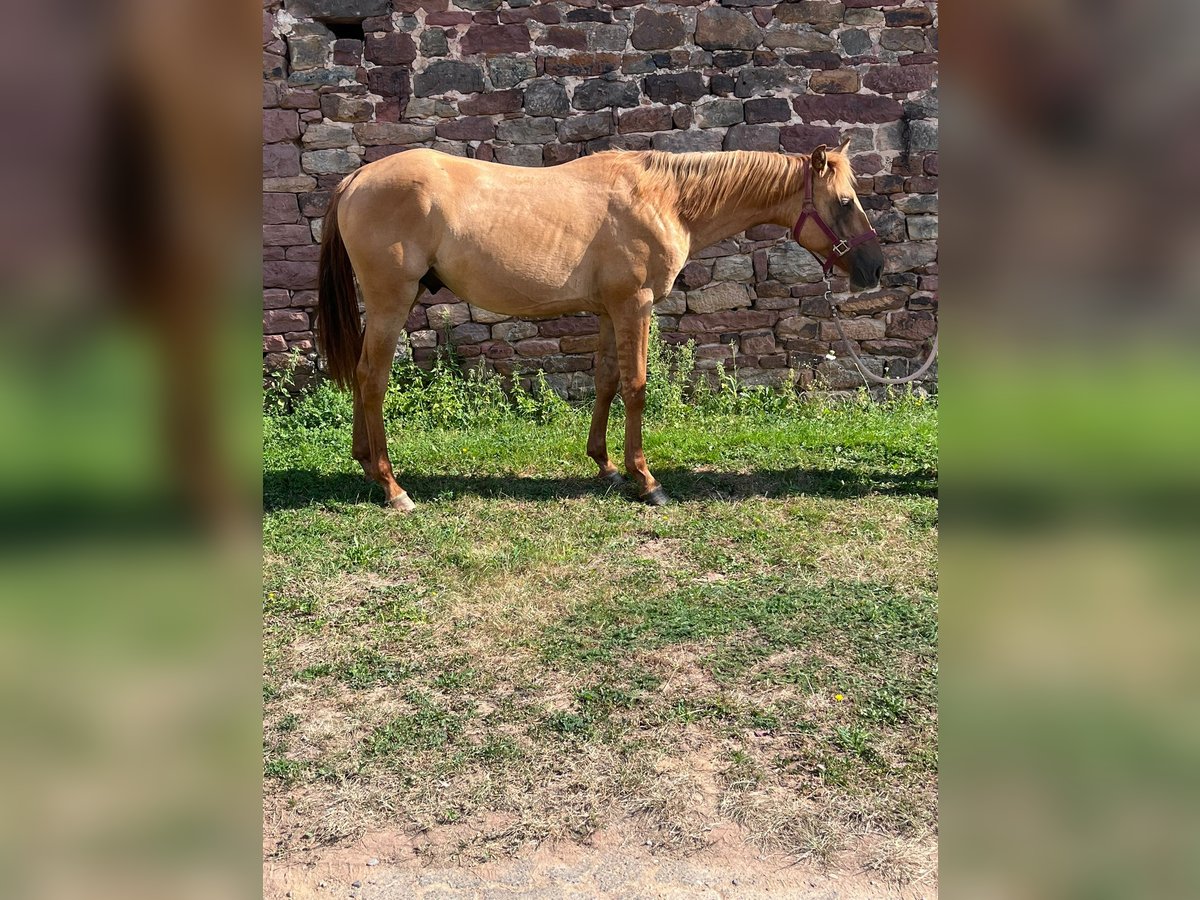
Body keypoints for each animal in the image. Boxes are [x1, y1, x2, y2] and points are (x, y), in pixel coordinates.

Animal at [316, 137, 883, 511]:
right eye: (845, 202)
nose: (876, 268)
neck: (665, 198)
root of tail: (355, 179)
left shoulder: (611, 311)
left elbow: (607, 381)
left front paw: (606, 466)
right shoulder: (636, 305)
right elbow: (636, 386)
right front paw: (646, 480)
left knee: (362, 378)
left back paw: (366, 464)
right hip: (391, 303)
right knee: (371, 379)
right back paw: (392, 488)